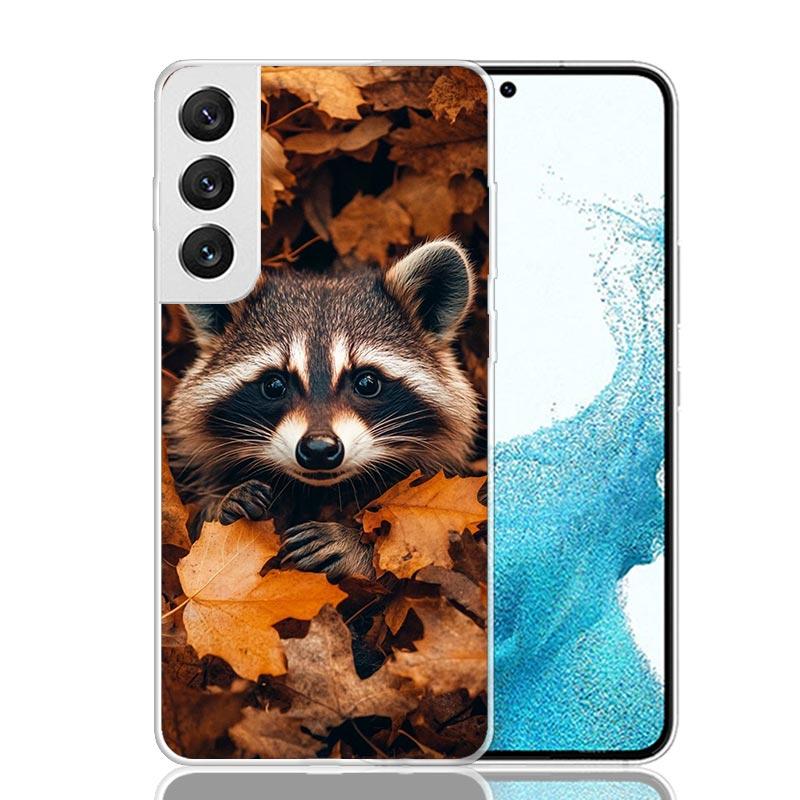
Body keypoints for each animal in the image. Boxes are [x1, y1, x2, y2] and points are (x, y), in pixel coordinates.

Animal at [166, 239, 480, 582]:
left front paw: (357, 547)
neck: (317, 490)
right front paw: (221, 503)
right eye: (274, 385)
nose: (318, 449)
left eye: (367, 382)